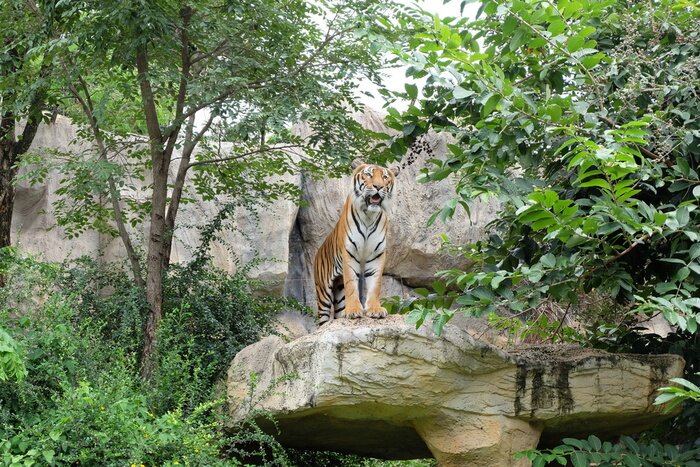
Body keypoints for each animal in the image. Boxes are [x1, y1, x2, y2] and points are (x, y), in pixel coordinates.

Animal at [314, 159, 400, 325]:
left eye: (385, 177)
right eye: (368, 174)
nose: (378, 186)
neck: (369, 216)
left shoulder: (376, 256)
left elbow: (375, 285)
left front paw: (375, 310)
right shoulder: (350, 254)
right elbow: (351, 285)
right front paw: (354, 311)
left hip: (338, 290)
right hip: (323, 292)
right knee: (323, 318)